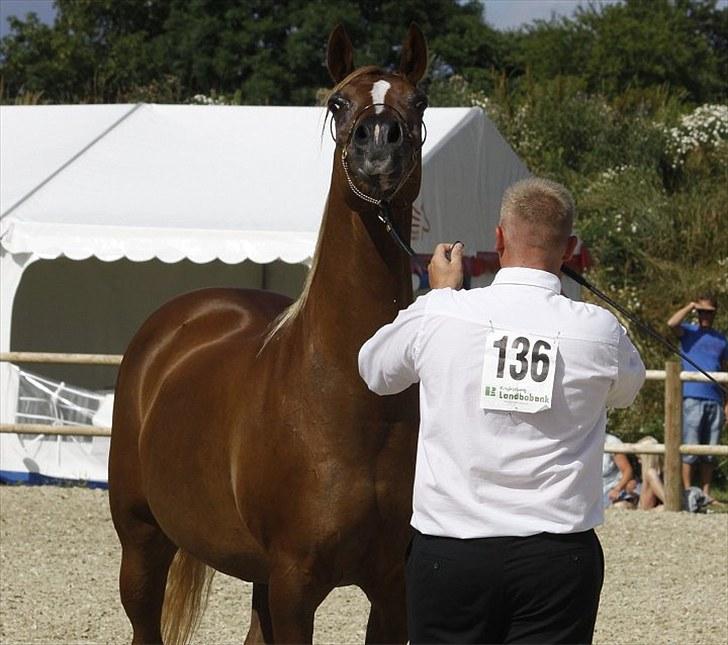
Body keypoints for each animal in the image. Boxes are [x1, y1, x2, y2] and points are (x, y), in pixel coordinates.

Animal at [108, 22, 426, 640]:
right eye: (338, 102)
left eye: (419, 102)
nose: (379, 143)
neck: (353, 401)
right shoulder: (295, 584)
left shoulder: (392, 585)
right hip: (142, 542)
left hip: (255, 574)